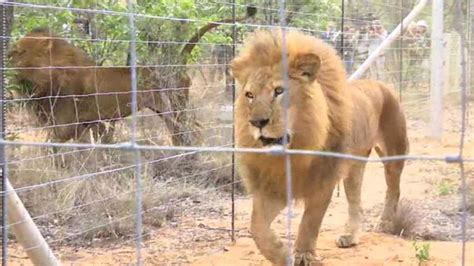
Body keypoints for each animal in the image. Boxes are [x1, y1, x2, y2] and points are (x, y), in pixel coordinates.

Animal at [231, 30, 410, 264]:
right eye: (249, 95)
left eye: (279, 91)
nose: (257, 122)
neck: (295, 150)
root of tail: (381, 84)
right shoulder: (274, 185)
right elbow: (257, 228)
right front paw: (281, 254)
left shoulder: (323, 179)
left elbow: (310, 222)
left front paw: (304, 255)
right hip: (354, 168)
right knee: (355, 202)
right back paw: (350, 236)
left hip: (393, 153)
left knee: (393, 189)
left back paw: (386, 222)